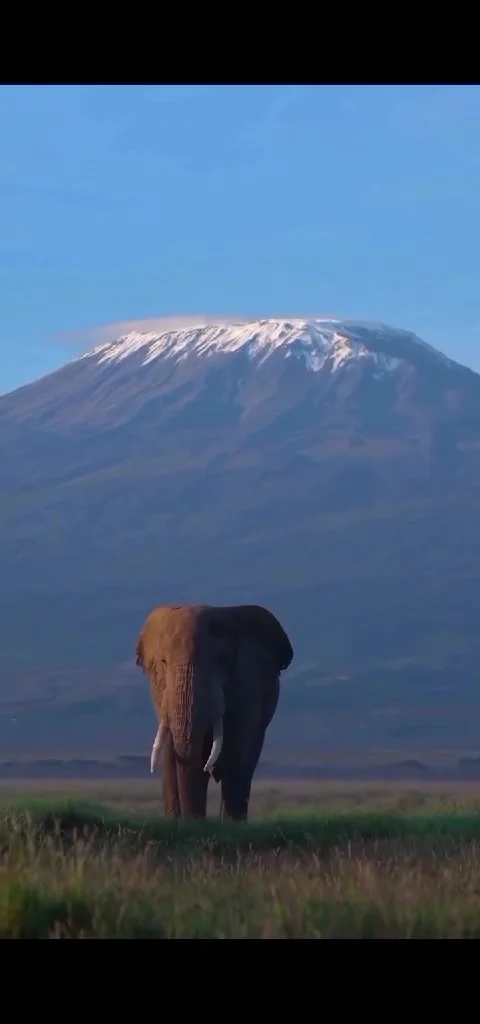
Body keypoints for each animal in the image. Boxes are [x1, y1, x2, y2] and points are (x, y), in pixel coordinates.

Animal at [135, 603, 294, 822]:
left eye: (222, 661)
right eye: (163, 662)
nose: (192, 823)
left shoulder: (250, 684)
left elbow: (239, 752)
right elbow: (170, 756)